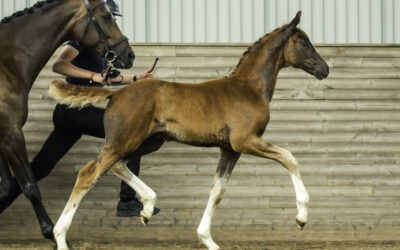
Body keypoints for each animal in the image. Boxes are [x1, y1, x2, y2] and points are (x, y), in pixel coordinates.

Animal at [0, 0, 134, 240]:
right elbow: (29, 186)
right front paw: (50, 232)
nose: (129, 55)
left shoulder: (3, 134)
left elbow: (7, 185)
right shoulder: (10, 132)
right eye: (106, 17)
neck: (7, 65)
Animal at [48, 12, 328, 250]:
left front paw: (207, 239)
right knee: (88, 173)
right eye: (304, 42)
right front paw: (301, 217)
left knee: (117, 165)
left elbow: (218, 190)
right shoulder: (245, 141)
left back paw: (147, 207)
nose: (324, 69)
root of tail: (116, 94)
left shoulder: (229, 149)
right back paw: (60, 237)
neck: (248, 88)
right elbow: (290, 159)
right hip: (124, 141)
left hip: (147, 142)